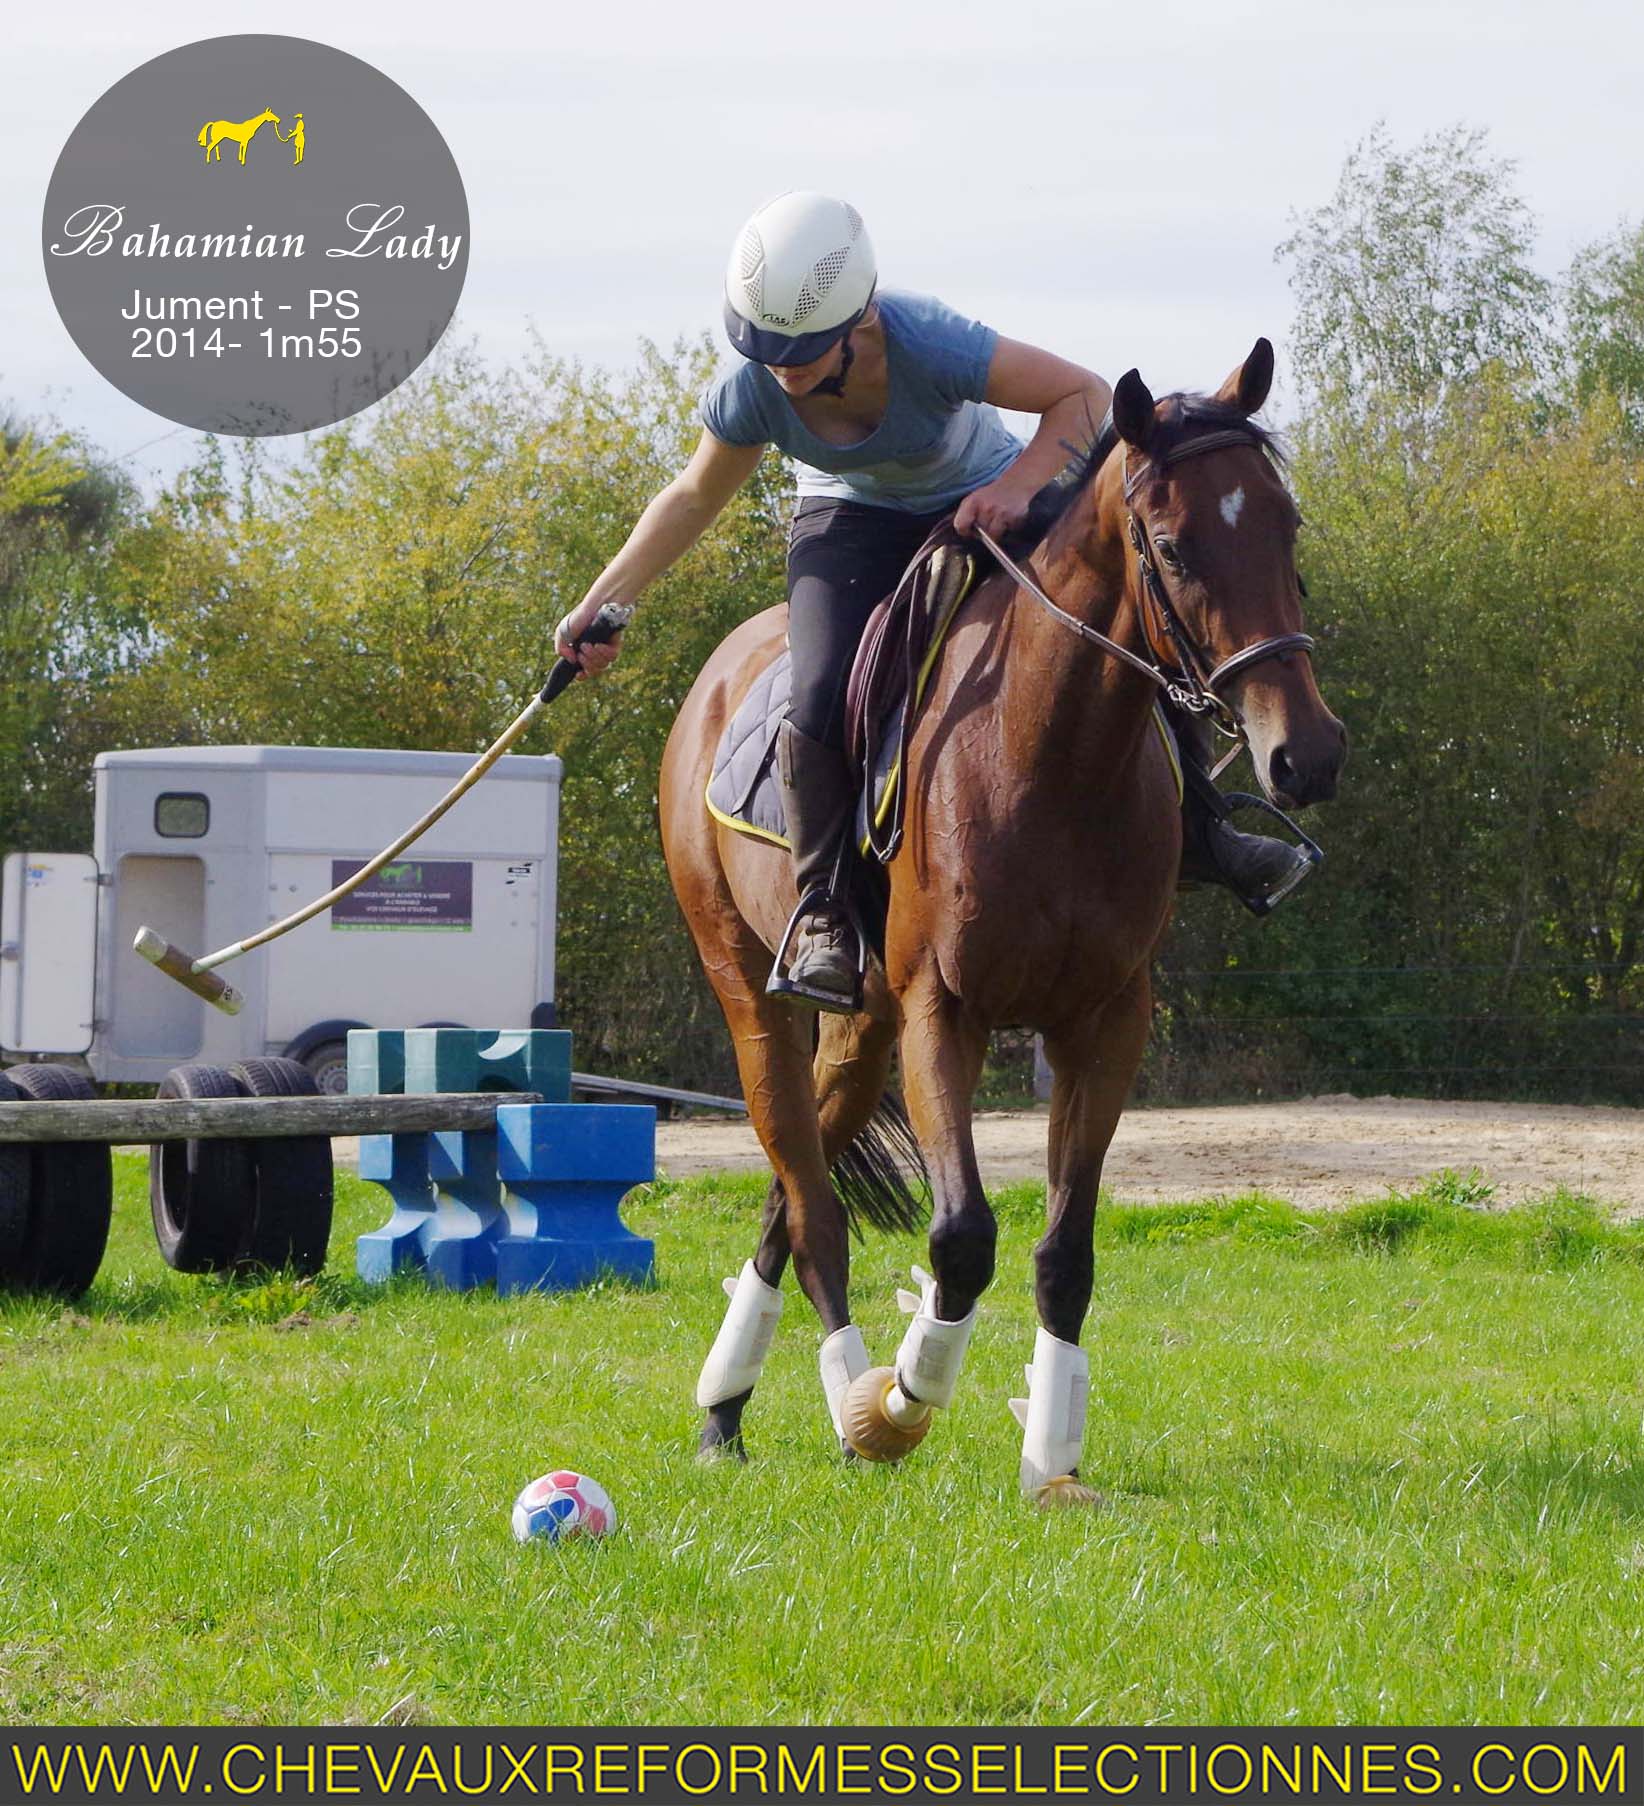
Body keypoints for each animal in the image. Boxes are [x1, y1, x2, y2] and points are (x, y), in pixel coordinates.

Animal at [661, 344, 1344, 1502]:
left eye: (1285, 527)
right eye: (1173, 546)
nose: (1306, 756)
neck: (1050, 753)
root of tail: (715, 677)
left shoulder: (1105, 1022)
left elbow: (1065, 1252)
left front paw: (1051, 1457)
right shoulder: (948, 1013)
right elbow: (962, 1238)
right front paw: (901, 1402)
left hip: (862, 1028)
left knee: (788, 1196)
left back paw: (729, 1402)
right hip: (751, 990)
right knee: (812, 1203)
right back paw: (835, 1399)